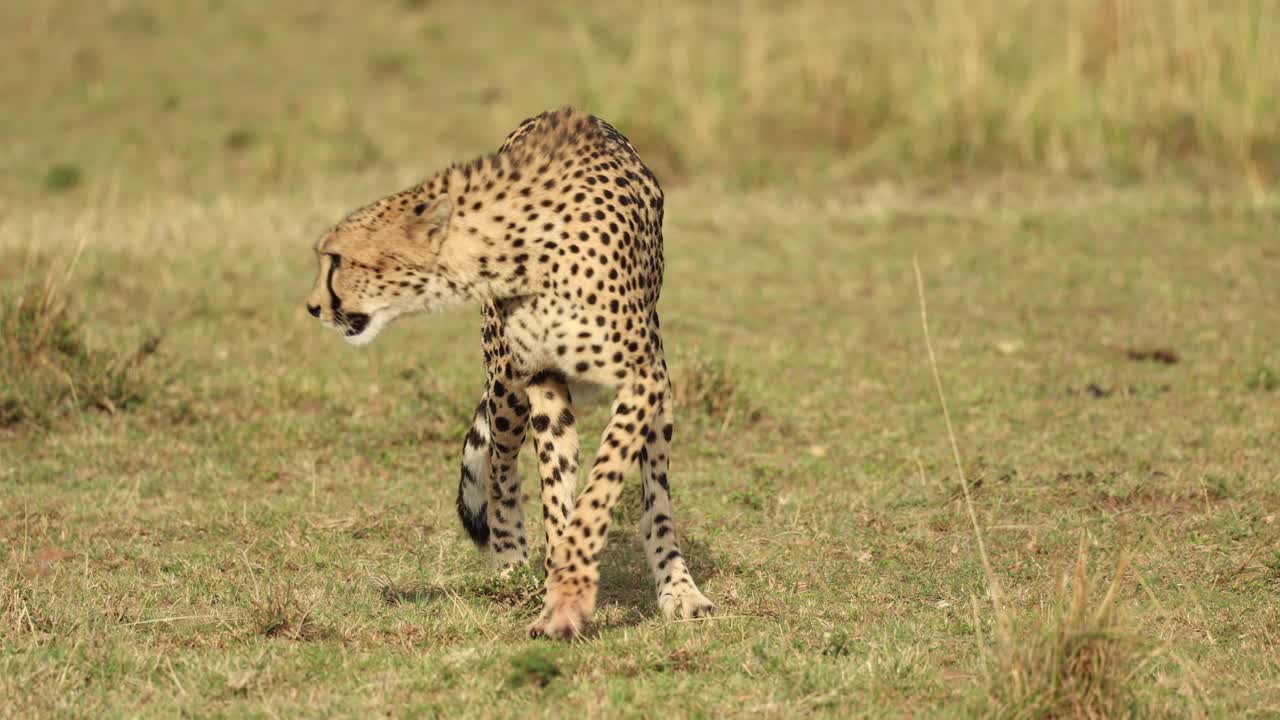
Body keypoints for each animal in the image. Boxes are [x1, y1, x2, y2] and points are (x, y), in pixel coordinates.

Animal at [304, 107, 714, 639]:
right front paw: (560, 585)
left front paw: (573, 588)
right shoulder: (542, 380)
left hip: (654, 386)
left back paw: (678, 586)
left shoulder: (643, 378)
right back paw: (511, 562)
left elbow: (602, 485)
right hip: (505, 386)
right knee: (500, 467)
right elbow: (556, 489)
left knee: (656, 497)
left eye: (338, 260)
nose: (313, 306)